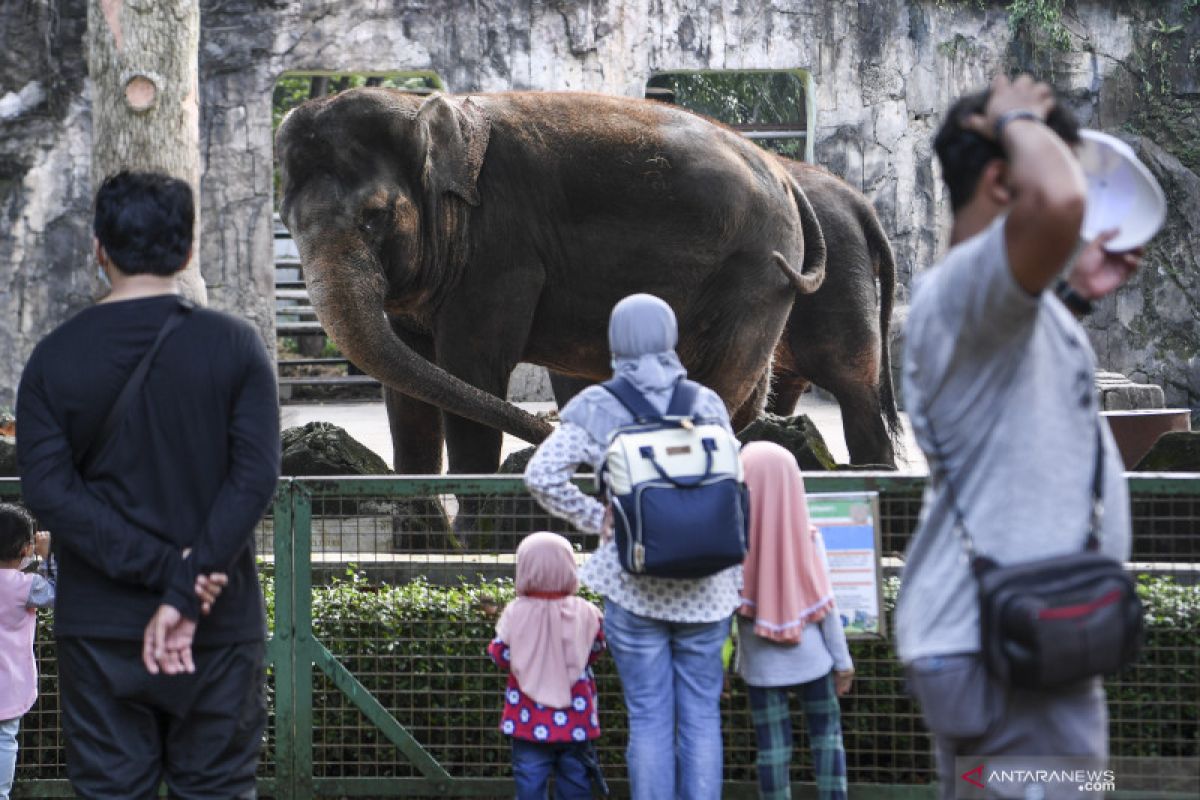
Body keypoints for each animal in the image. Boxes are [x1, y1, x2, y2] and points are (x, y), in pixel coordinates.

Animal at [277, 87, 825, 474]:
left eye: (375, 217)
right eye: (287, 223)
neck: (429, 111)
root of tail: (783, 172)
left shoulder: (500, 250)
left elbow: (470, 372)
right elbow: (410, 398)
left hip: (756, 274)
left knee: (720, 382)